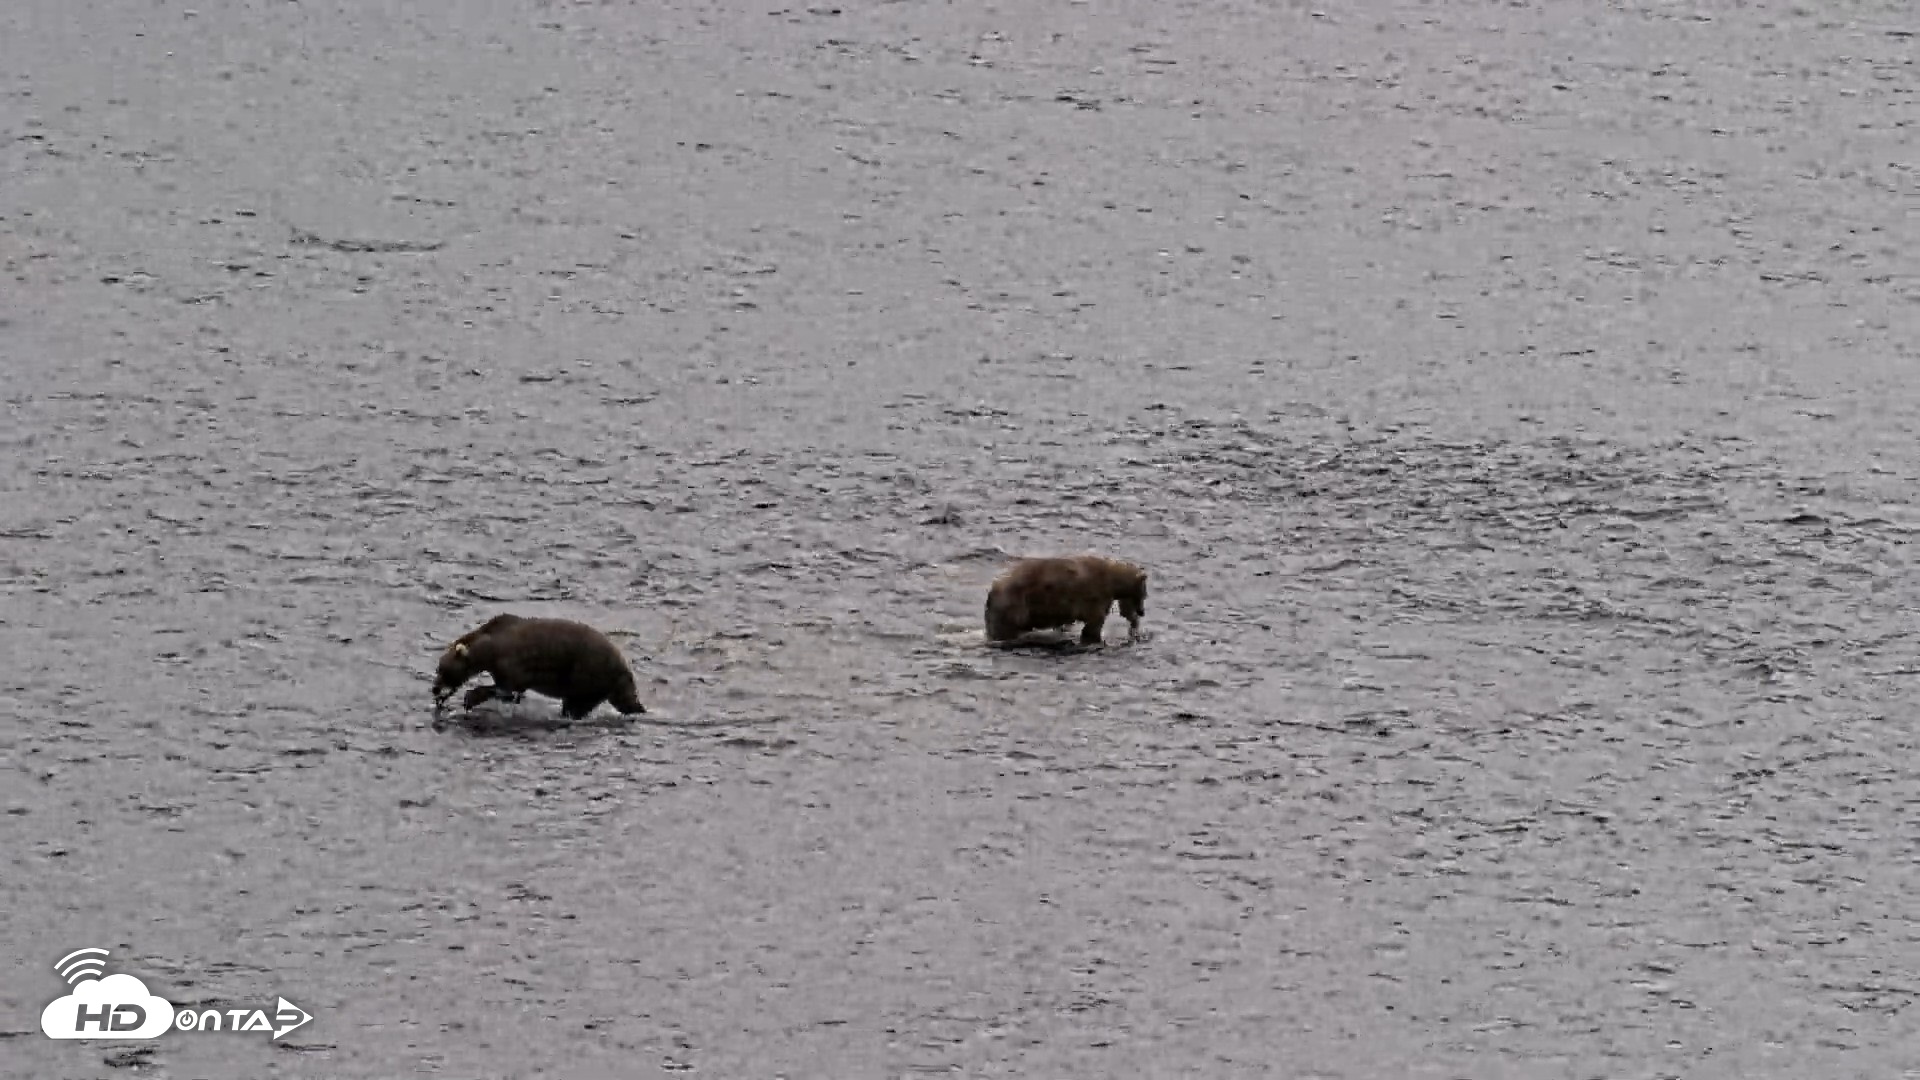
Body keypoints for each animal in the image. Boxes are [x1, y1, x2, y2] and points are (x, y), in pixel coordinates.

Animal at [431, 613, 647, 721]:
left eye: (442, 670)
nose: (434, 689)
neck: (489, 649)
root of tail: (624, 666)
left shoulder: (511, 662)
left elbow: (507, 688)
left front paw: (470, 698)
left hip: (588, 675)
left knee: (578, 704)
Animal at [984, 554, 1149, 648]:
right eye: (1144, 594)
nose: (1142, 612)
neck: (1112, 581)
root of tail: (993, 589)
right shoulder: (1095, 595)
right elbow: (1094, 622)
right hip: (1015, 607)